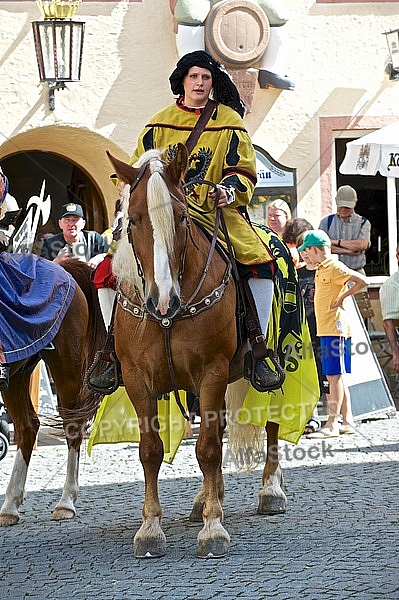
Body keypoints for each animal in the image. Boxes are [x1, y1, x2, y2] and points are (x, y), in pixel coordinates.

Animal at [0, 258, 106, 524]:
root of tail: (62, 266)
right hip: (17, 375)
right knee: (27, 428)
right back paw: (10, 505)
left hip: (66, 366)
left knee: (73, 427)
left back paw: (66, 502)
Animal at [108, 144, 286, 556]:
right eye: (134, 220)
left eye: (181, 216)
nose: (163, 300)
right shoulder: (137, 380)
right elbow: (150, 450)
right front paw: (151, 529)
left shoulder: (212, 372)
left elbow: (206, 448)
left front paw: (213, 528)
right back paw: (206, 497)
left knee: (269, 422)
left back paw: (269, 491)